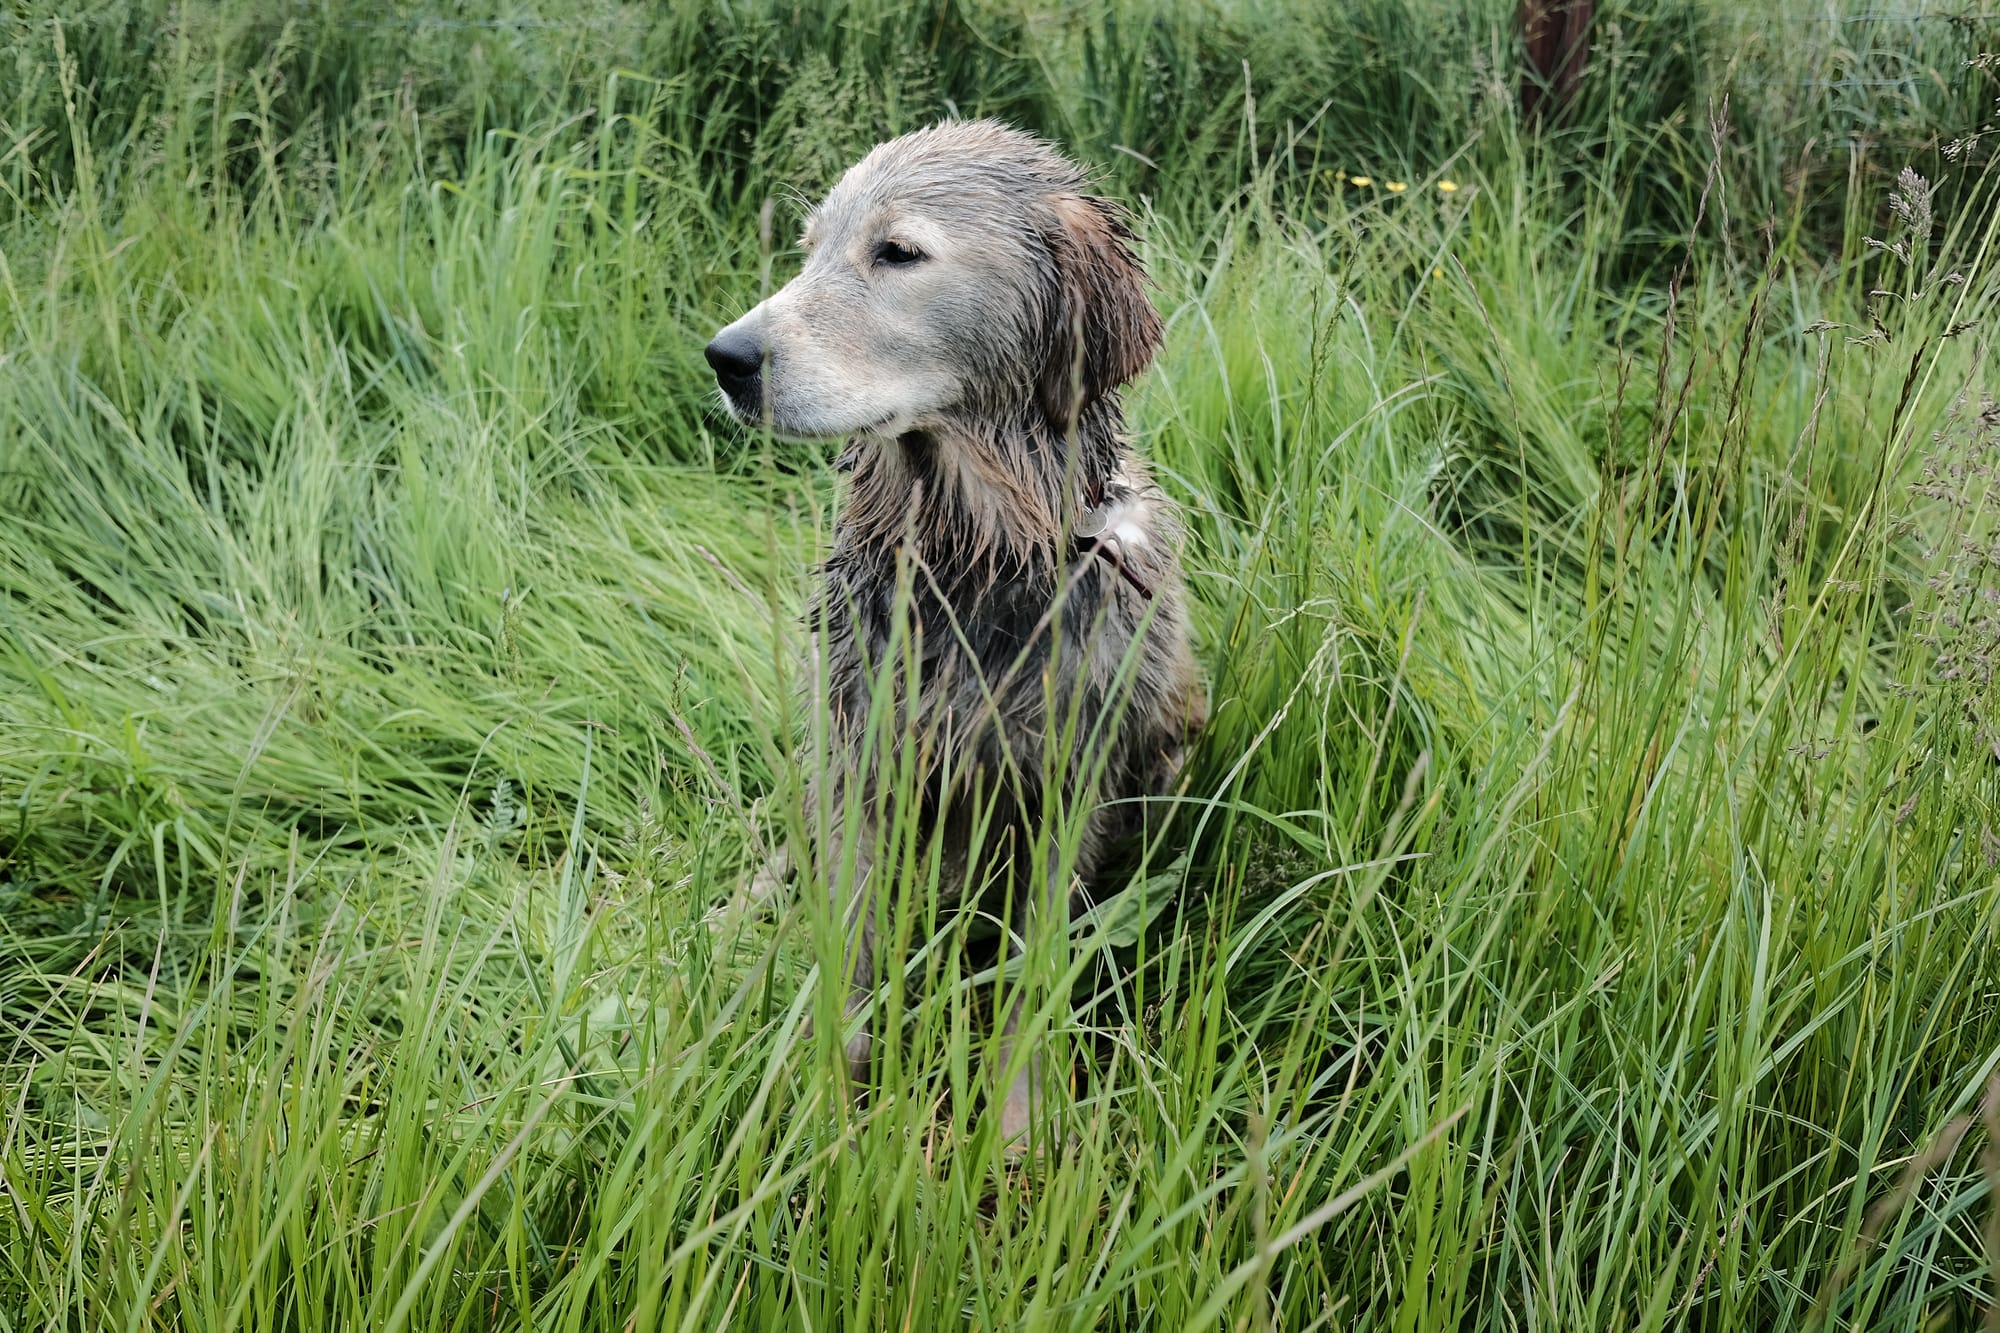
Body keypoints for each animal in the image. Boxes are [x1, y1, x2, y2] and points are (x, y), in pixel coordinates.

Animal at [704, 119, 1200, 1136]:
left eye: (897, 252)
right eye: (809, 248)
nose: (726, 357)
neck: (972, 560)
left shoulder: (1071, 787)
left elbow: (1036, 974)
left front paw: (1019, 1120)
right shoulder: (860, 758)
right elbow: (845, 961)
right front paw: (825, 1110)